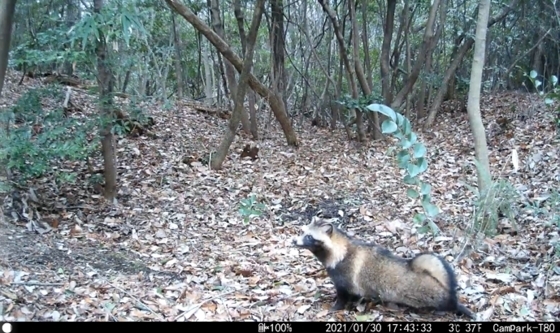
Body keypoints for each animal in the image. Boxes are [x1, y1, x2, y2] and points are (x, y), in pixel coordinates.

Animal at [290, 217, 474, 318]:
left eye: (309, 237)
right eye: (302, 232)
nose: (293, 241)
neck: (339, 248)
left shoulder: (344, 274)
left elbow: (343, 295)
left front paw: (335, 307)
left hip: (429, 295)